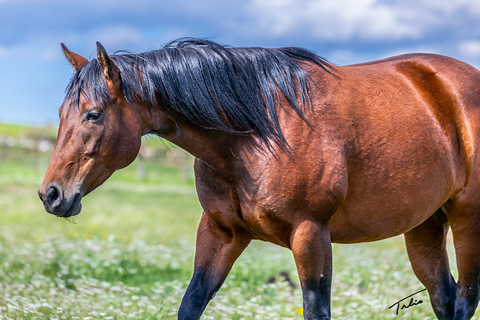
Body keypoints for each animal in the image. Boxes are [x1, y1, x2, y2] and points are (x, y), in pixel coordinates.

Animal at [38, 40, 480, 320]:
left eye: (93, 114)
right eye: (60, 114)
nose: (51, 195)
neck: (255, 134)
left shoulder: (310, 234)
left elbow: (316, 309)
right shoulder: (221, 233)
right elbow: (191, 302)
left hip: (466, 221)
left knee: (465, 298)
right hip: (424, 225)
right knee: (444, 297)